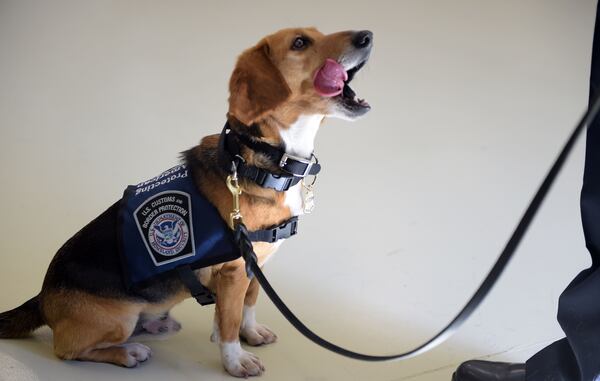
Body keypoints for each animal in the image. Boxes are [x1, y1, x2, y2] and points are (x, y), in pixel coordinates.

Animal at [0, 27, 372, 378]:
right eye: (300, 42)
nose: (366, 36)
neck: (265, 163)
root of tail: (43, 297)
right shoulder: (235, 272)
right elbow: (229, 321)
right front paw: (235, 360)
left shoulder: (256, 269)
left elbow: (247, 306)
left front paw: (250, 333)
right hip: (118, 319)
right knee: (67, 349)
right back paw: (127, 352)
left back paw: (155, 325)